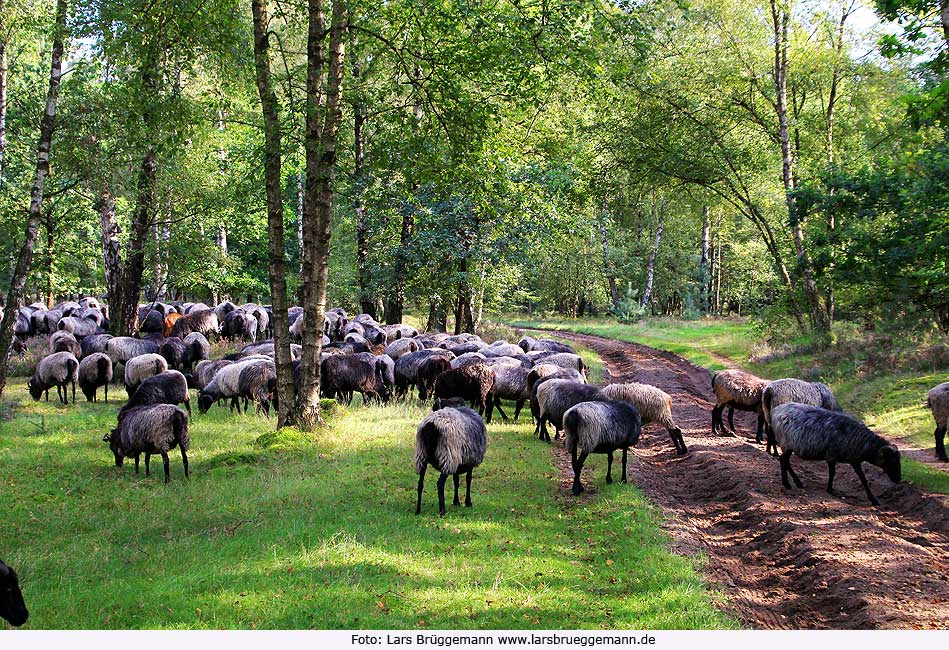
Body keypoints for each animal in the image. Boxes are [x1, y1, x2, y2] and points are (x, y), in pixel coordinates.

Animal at [768, 400, 900, 506]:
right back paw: (787, 484)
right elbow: (835, 474)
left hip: (789, 446)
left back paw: (797, 482)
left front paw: (873, 499)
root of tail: (775, 410)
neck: (862, 442)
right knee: (783, 460)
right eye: (890, 461)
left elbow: (861, 478)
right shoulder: (833, 456)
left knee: (786, 461)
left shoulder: (853, 459)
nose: (898, 479)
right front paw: (830, 490)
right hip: (787, 444)